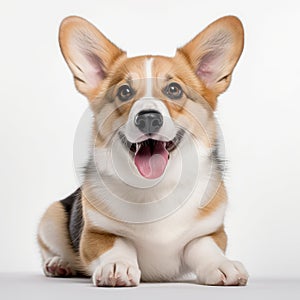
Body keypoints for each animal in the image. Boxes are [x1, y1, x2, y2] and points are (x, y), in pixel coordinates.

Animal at [37, 14, 248, 286]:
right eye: (124, 91)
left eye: (174, 90)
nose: (148, 119)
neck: (155, 189)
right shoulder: (96, 233)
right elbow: (118, 244)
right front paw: (117, 265)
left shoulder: (212, 231)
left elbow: (204, 246)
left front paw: (222, 264)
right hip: (52, 215)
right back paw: (58, 263)